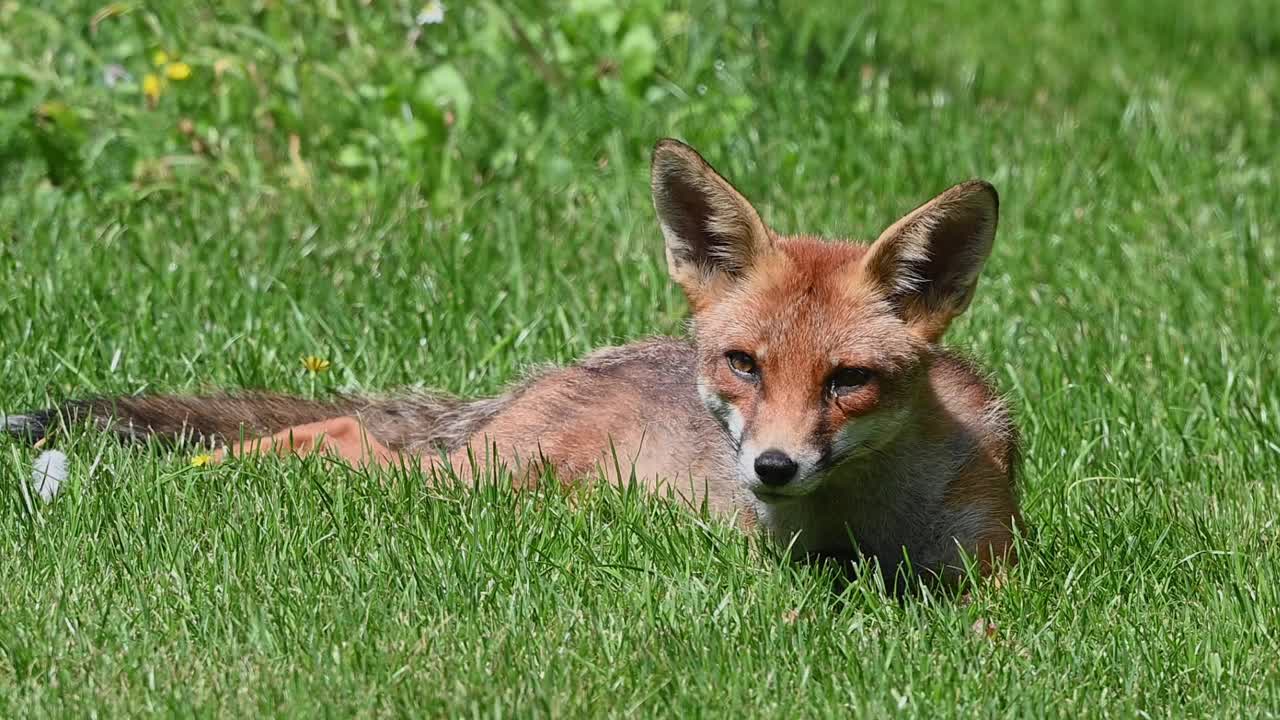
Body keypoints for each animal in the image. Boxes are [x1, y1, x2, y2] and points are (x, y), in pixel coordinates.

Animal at [0, 139, 1018, 584]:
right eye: (744, 365)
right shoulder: (766, 554)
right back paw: (193, 476)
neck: (861, 528)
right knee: (341, 434)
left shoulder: (987, 557)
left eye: (849, 381)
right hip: (476, 478)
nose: (772, 466)